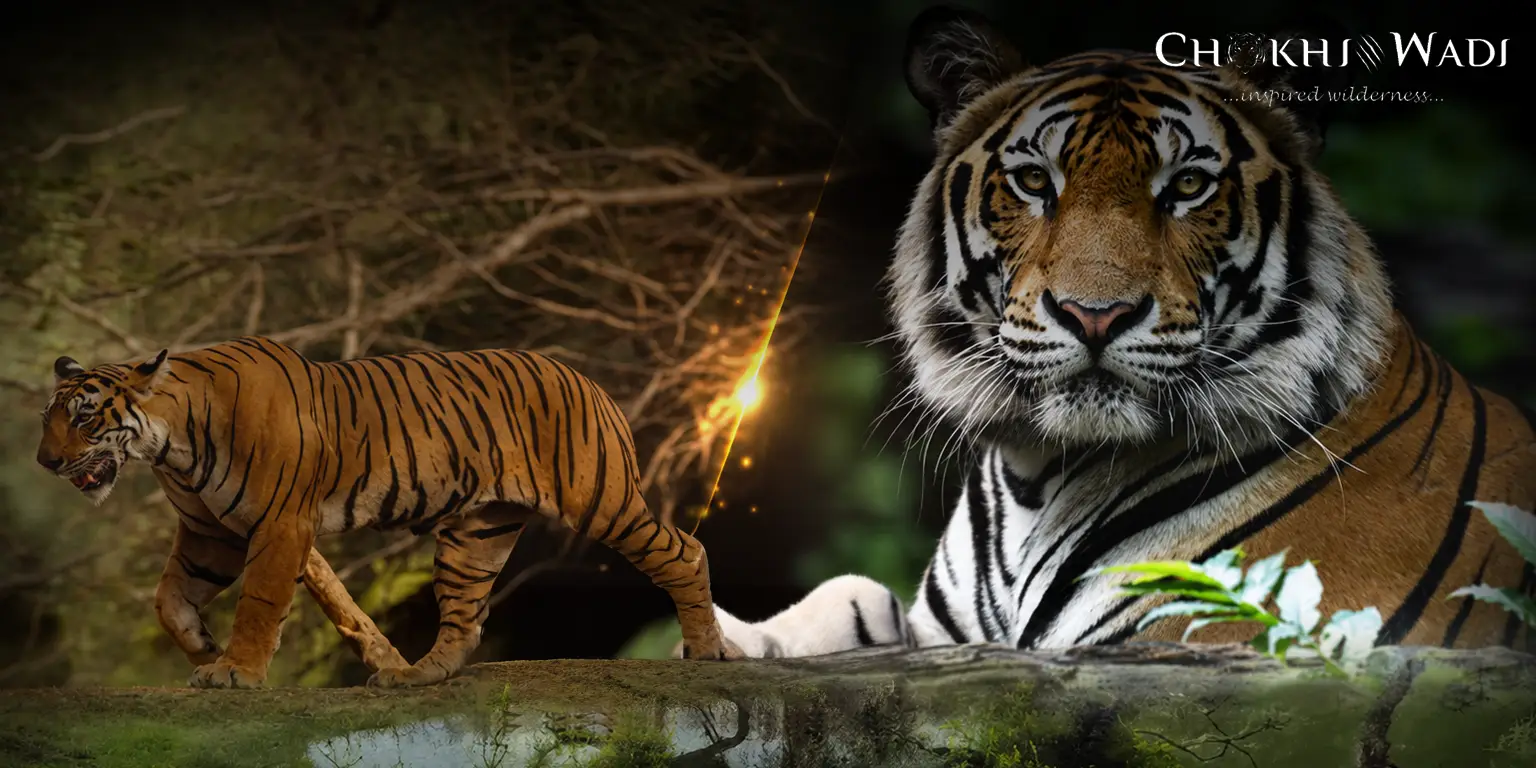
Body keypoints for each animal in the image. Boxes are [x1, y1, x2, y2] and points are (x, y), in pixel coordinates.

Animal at [36, 336, 741, 689]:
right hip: (477, 533)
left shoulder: (278, 524)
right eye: (48, 418)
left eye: (84, 417)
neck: (169, 445)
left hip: (600, 500)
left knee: (684, 552)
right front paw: (205, 651)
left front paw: (235, 670)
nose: (44, 462)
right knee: (465, 615)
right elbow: (169, 600)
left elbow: (259, 602)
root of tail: (586, 379)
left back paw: (708, 652)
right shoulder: (210, 535)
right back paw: (417, 676)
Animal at [696, 7, 1536, 658]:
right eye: (1034, 182)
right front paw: (729, 637)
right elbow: (850, 592)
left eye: (1188, 186)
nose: (1093, 314)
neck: (1036, 474)